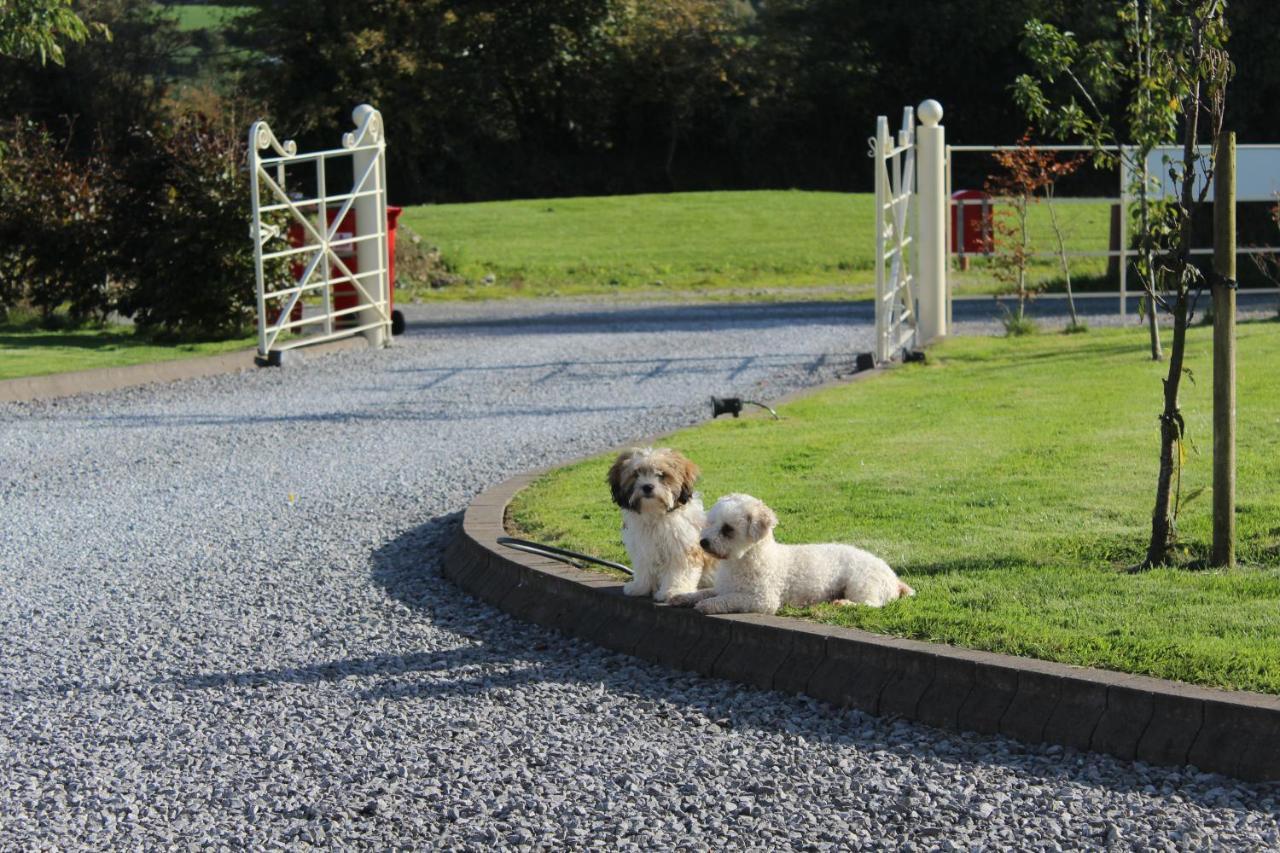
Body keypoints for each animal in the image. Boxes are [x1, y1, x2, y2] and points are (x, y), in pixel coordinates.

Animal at [604, 445, 716, 596]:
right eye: (636, 474)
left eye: (661, 475)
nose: (647, 486)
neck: (655, 514)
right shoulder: (642, 547)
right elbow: (643, 567)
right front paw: (640, 587)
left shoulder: (682, 548)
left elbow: (680, 571)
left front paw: (674, 590)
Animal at [670, 491, 911, 612]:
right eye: (710, 523)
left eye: (728, 529)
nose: (703, 542)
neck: (742, 561)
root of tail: (895, 580)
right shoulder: (723, 586)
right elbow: (707, 591)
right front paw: (684, 596)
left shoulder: (762, 599)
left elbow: (728, 599)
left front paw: (708, 605)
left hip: (862, 583)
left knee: (872, 604)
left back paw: (845, 604)